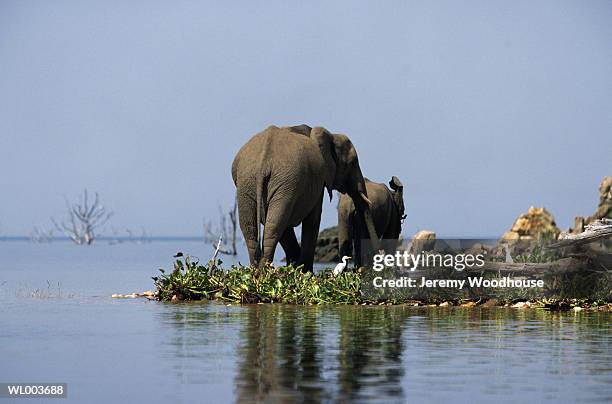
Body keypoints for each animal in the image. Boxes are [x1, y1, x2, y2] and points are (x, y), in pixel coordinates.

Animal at [233, 124, 380, 270]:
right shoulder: (319, 179)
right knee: (274, 225)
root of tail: (263, 163)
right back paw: (264, 269)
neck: (330, 135)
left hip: (249, 182)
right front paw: (303, 270)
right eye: (353, 163)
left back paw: (257, 270)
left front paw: (294, 266)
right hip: (279, 182)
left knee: (253, 227)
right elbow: (313, 219)